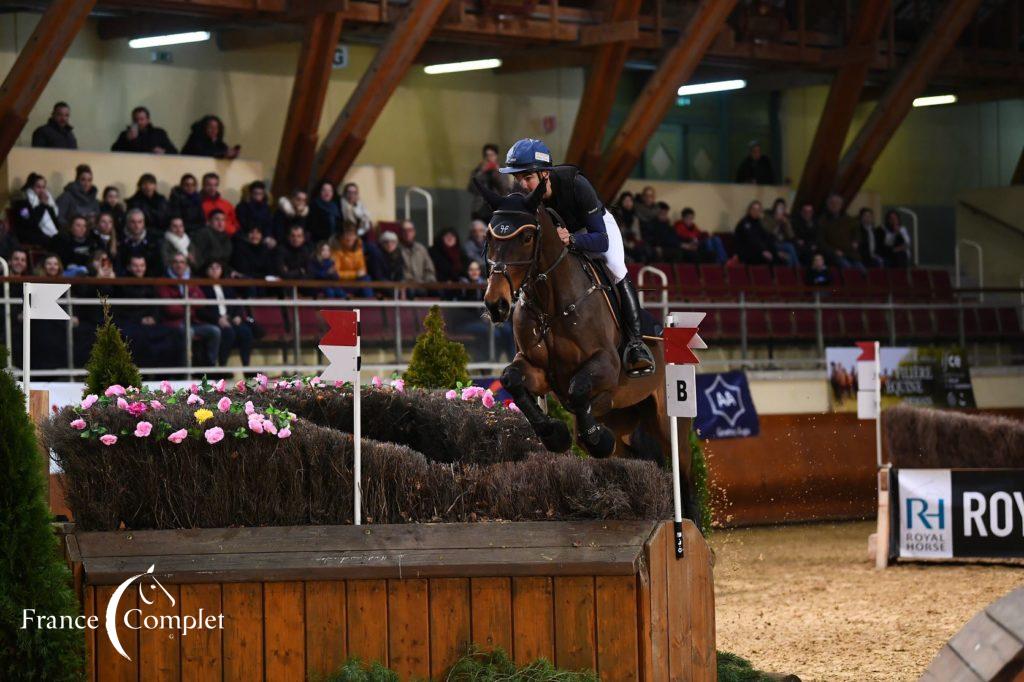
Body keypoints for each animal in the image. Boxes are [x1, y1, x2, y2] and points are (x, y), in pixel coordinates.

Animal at [475, 178, 700, 518]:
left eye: (526, 237)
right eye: (489, 236)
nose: (496, 304)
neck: (551, 302)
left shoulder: (605, 366)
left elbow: (579, 389)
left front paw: (594, 440)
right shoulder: (538, 370)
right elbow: (512, 379)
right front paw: (554, 434)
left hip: (669, 422)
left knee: (683, 474)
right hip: (622, 417)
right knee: (635, 455)